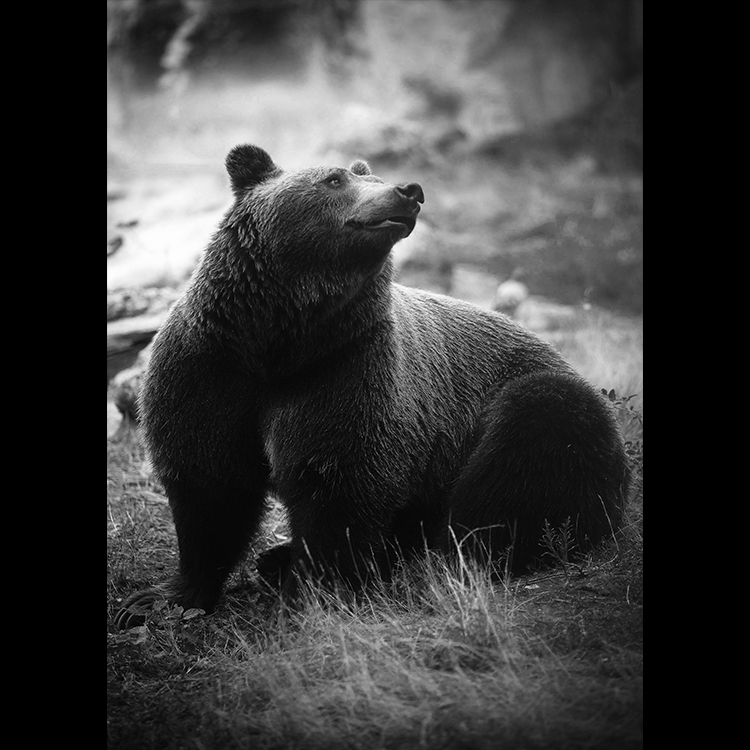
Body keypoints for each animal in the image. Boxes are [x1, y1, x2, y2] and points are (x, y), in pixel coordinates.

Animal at [114, 144, 630, 629]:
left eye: (370, 174)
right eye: (334, 178)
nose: (409, 191)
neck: (280, 342)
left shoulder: (345, 371)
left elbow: (338, 482)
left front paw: (314, 595)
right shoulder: (210, 369)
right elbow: (210, 486)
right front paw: (155, 600)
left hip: (530, 405)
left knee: (526, 454)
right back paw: (279, 559)